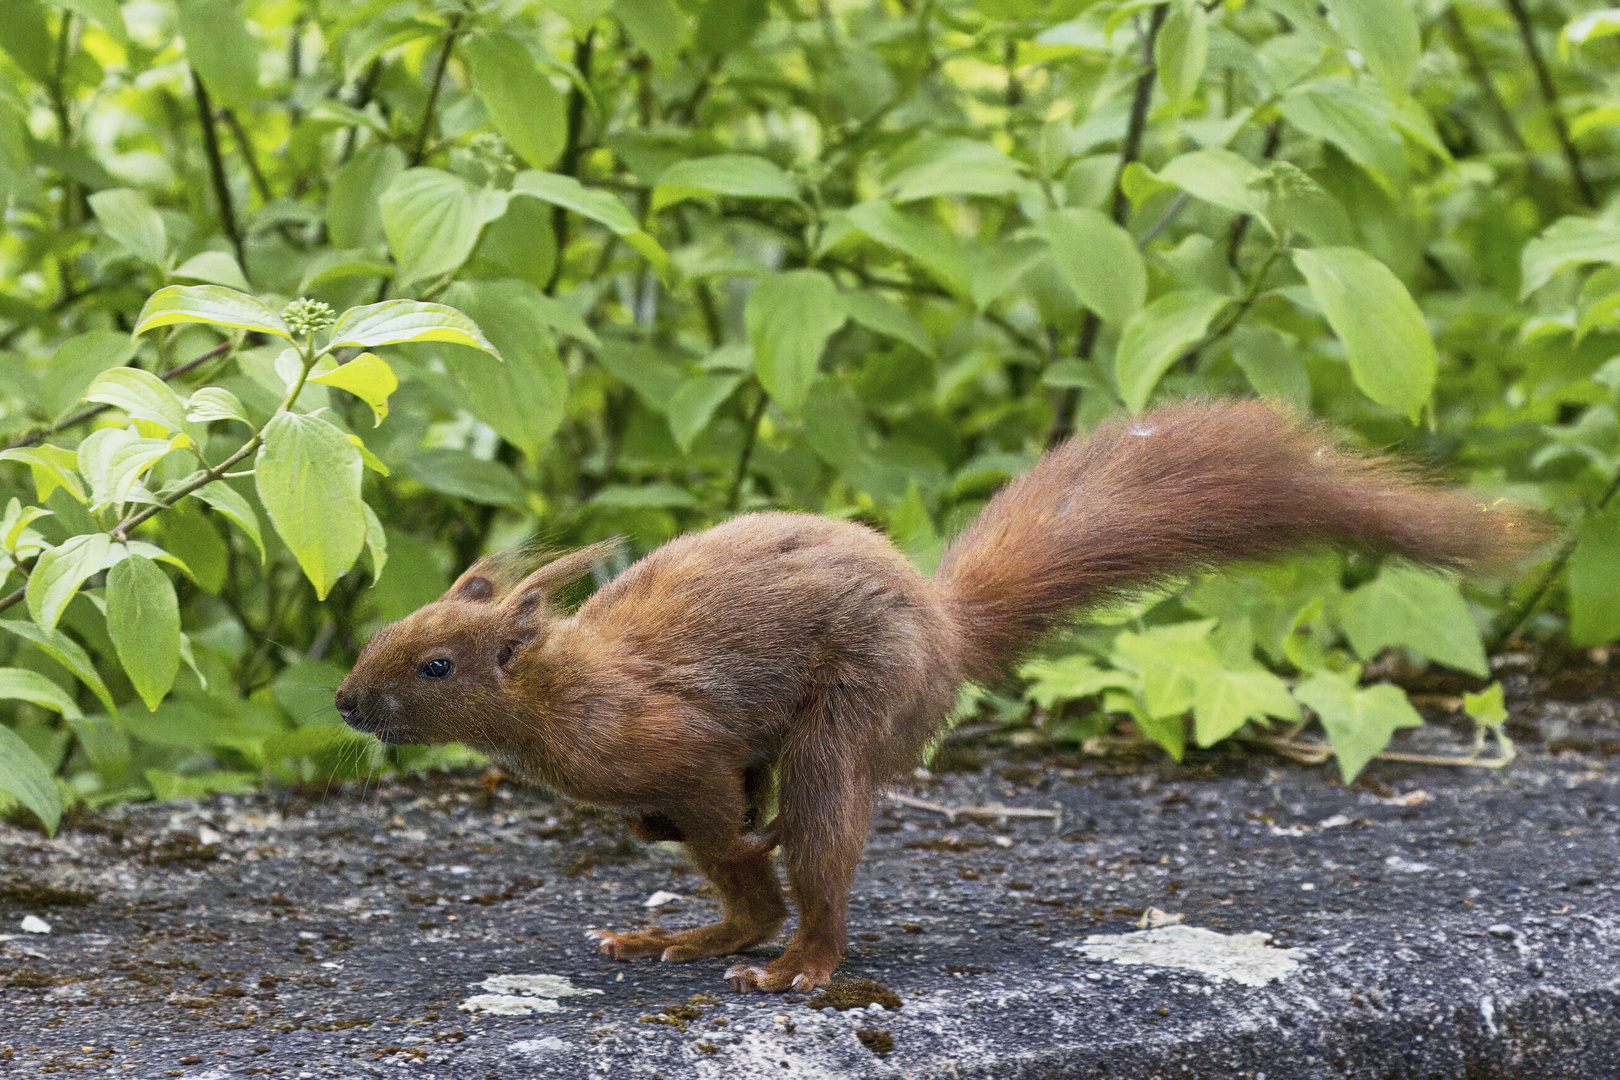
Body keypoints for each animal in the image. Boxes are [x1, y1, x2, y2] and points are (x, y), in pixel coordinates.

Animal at [335, 403, 1535, 997]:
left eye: (435, 667)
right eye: (380, 636)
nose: (347, 702)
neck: (559, 690)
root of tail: (944, 627)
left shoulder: (677, 737)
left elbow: (725, 794)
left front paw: (751, 832)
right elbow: (706, 821)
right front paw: (683, 850)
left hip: (857, 715)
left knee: (809, 866)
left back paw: (798, 965)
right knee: (750, 904)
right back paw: (685, 936)